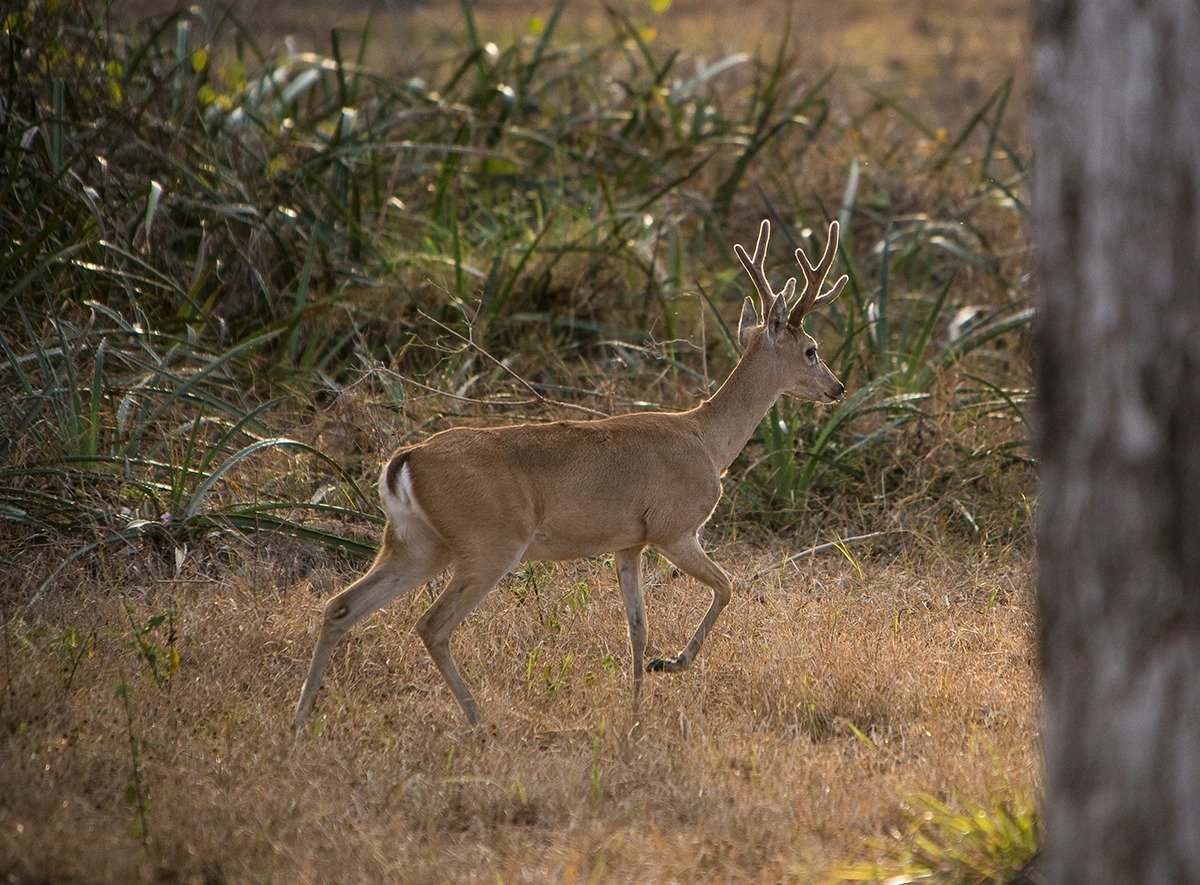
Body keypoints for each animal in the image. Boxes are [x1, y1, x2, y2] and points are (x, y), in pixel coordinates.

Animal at [292, 218, 849, 729]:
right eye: (812, 350)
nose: (838, 387)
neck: (706, 440)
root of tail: (403, 461)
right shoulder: (673, 528)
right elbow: (726, 586)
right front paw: (673, 664)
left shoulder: (629, 542)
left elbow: (637, 627)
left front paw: (637, 709)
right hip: (489, 542)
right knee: (432, 625)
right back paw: (479, 722)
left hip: (417, 543)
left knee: (341, 606)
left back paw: (300, 720)